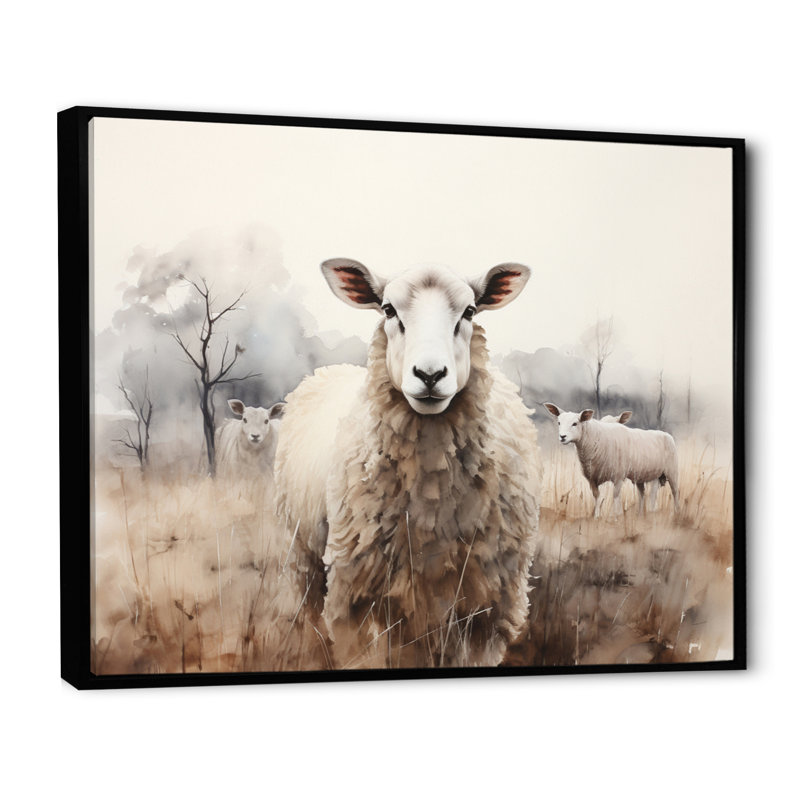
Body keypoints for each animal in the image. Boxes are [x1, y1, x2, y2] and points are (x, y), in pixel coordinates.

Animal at [274, 259, 542, 669]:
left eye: (469, 311)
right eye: (388, 310)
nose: (430, 375)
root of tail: (324, 371)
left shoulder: (489, 607)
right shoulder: (355, 597)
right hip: (301, 553)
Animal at [543, 403, 679, 517]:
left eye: (575, 423)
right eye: (559, 422)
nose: (562, 437)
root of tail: (666, 434)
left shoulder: (618, 476)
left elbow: (615, 495)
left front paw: (616, 516)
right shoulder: (592, 478)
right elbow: (597, 497)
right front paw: (597, 516)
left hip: (671, 471)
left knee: (673, 492)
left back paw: (676, 514)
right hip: (645, 475)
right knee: (643, 494)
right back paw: (641, 515)